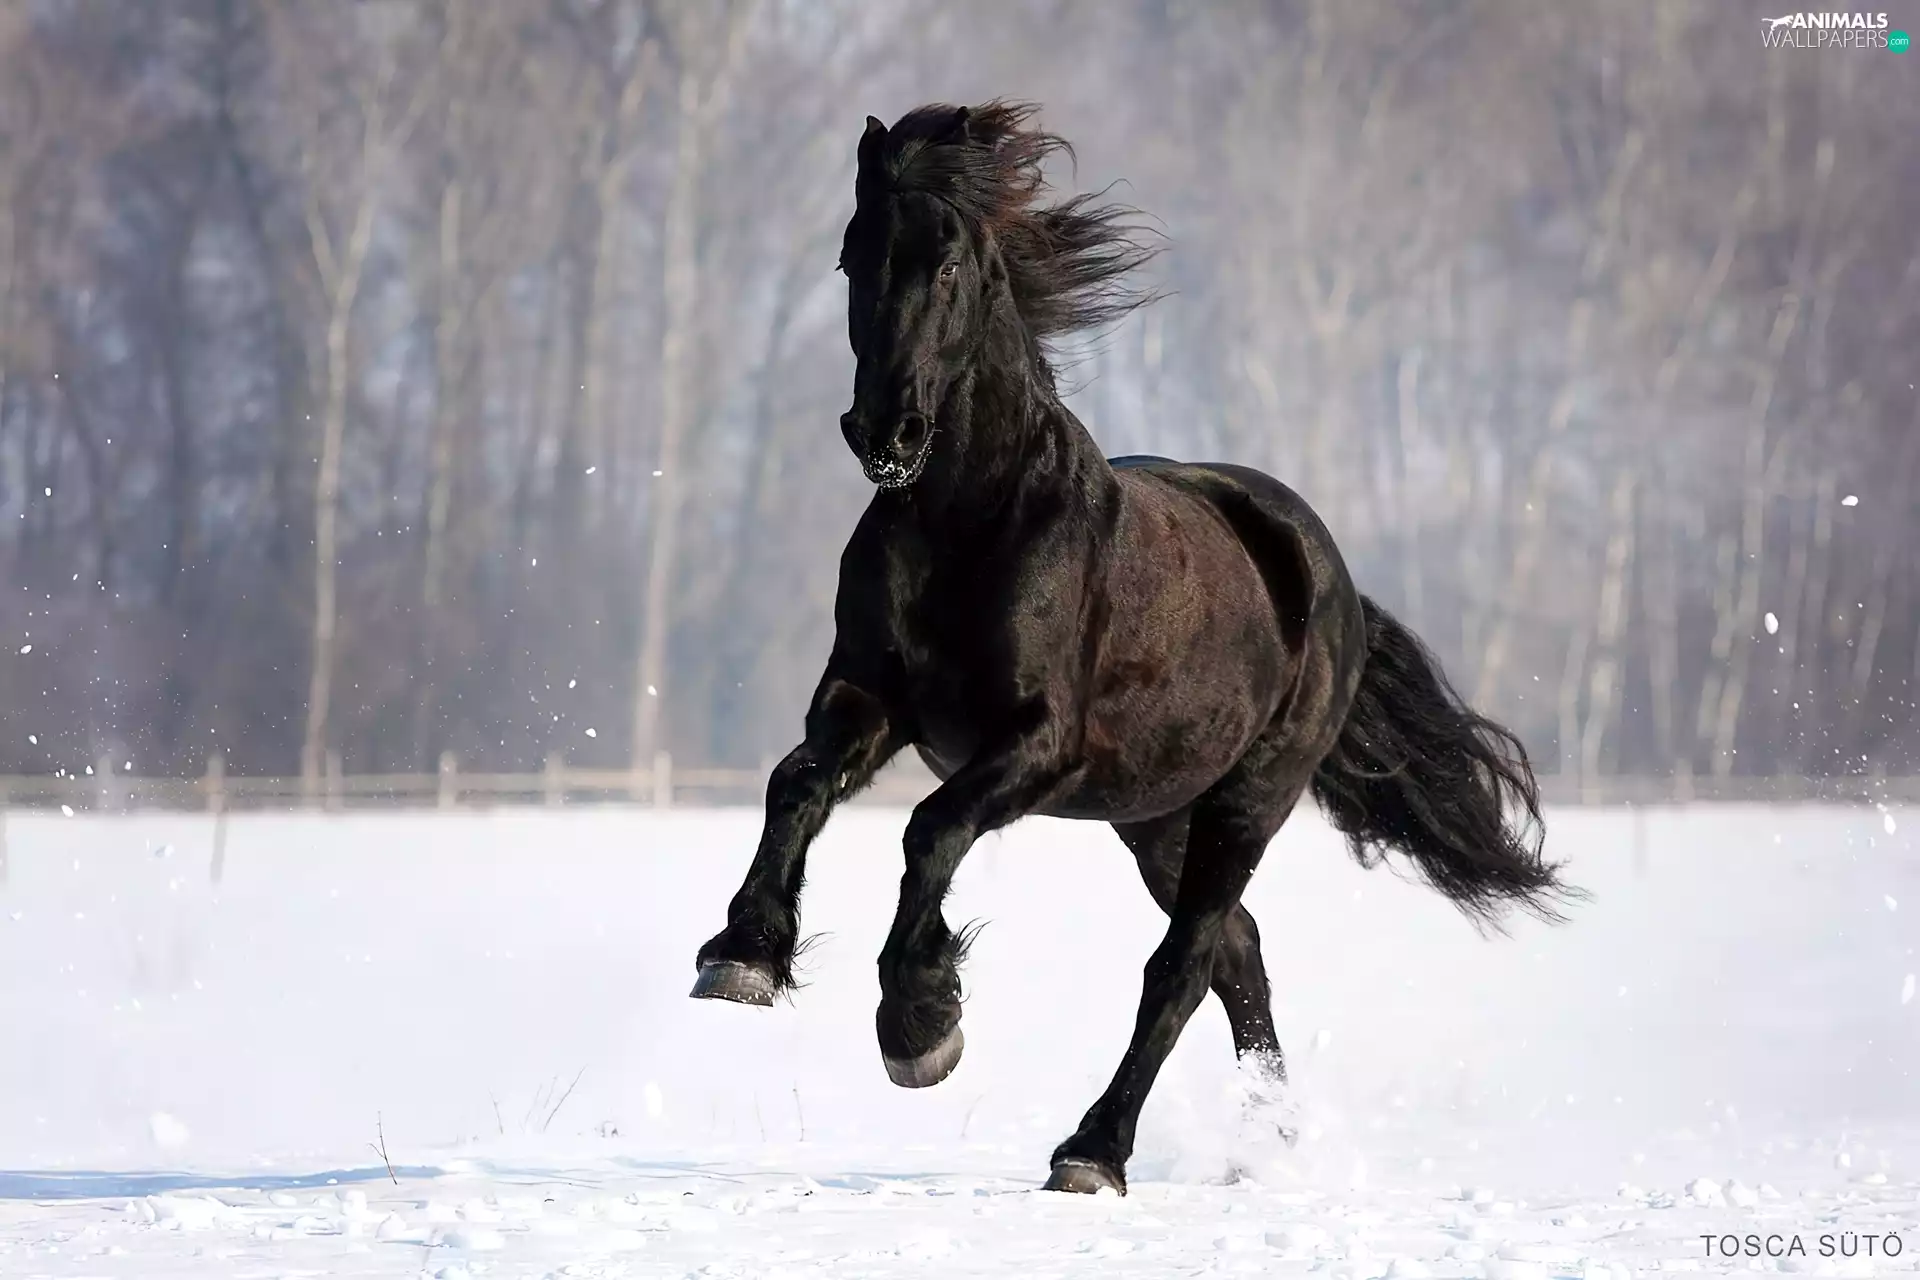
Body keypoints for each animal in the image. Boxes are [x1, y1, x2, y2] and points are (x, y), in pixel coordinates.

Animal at [689, 100, 1573, 1196]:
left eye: (949, 262)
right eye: (854, 256)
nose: (883, 431)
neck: (969, 520)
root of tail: (1328, 576)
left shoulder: (1039, 742)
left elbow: (930, 831)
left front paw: (920, 1022)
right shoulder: (872, 699)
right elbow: (796, 782)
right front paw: (743, 953)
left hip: (1245, 803)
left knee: (1184, 965)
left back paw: (1094, 1151)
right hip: (1156, 818)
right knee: (1238, 953)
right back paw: (1271, 1138)